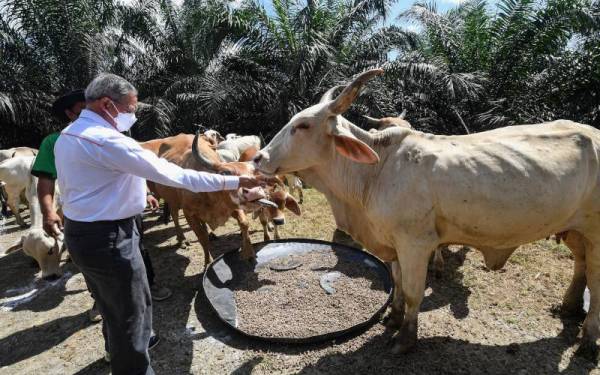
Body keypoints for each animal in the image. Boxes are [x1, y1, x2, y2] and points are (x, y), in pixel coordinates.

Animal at [255, 70, 600, 356]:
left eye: (303, 126)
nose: (258, 158)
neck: (376, 171)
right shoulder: (392, 242)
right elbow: (395, 282)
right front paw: (392, 320)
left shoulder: (415, 243)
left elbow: (411, 292)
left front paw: (405, 339)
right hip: (576, 231)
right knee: (580, 266)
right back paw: (569, 308)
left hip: (596, 233)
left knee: (596, 283)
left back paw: (588, 342)